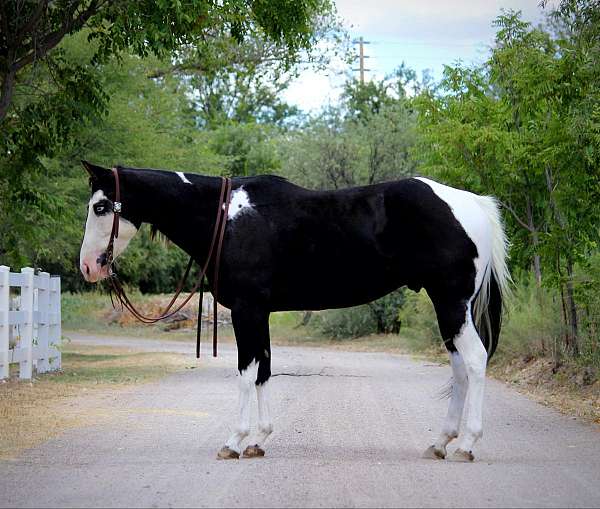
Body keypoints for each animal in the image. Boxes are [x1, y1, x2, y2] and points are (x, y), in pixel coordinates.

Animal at [78, 162, 510, 460]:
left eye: (101, 206)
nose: (88, 267)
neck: (227, 218)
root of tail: (472, 203)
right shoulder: (260, 313)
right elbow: (264, 370)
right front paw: (258, 440)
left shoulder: (247, 311)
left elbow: (246, 373)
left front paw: (234, 441)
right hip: (449, 309)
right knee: (460, 368)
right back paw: (440, 443)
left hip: (451, 303)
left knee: (474, 361)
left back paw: (466, 445)